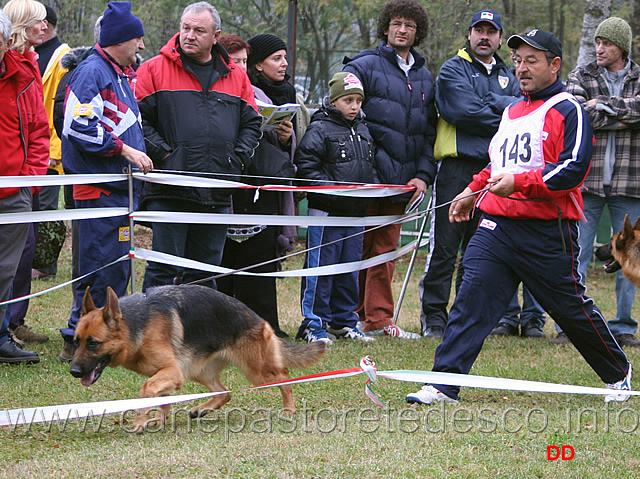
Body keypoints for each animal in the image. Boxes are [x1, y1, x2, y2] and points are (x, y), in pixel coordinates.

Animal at [69, 284, 328, 436]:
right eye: (76, 340)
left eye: (93, 343)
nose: (73, 371)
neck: (136, 326)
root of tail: (259, 319)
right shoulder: (166, 374)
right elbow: (162, 400)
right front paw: (159, 420)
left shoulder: (172, 372)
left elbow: (145, 390)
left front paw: (140, 421)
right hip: (199, 370)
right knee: (225, 392)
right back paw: (202, 409)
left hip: (256, 371)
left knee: (283, 376)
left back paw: (289, 409)